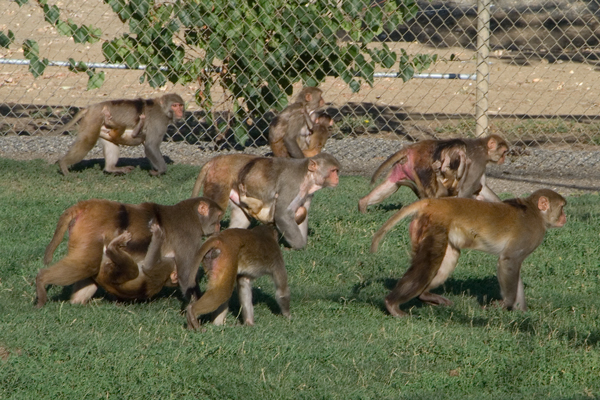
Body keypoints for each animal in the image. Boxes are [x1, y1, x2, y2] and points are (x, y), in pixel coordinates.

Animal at [35, 197, 223, 306]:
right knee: (87, 264)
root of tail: (87, 206)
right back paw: (42, 280)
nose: (220, 227)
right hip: (90, 232)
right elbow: (185, 276)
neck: (193, 216)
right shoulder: (188, 235)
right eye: (219, 218)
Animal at [358, 134, 508, 214]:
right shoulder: (479, 160)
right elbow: (466, 190)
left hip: (403, 165)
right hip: (422, 168)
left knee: (392, 183)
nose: (504, 158)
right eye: (504, 152)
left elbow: (482, 187)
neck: (482, 147)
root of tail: (413, 148)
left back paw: (363, 204)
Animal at [370, 189, 568, 318]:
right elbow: (509, 260)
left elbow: (514, 265)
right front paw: (507, 303)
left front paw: (521, 312)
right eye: (562, 208)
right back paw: (392, 304)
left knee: (448, 258)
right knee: (430, 261)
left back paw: (424, 295)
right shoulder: (530, 233)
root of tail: (435, 202)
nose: (565, 217)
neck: (536, 214)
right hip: (434, 223)